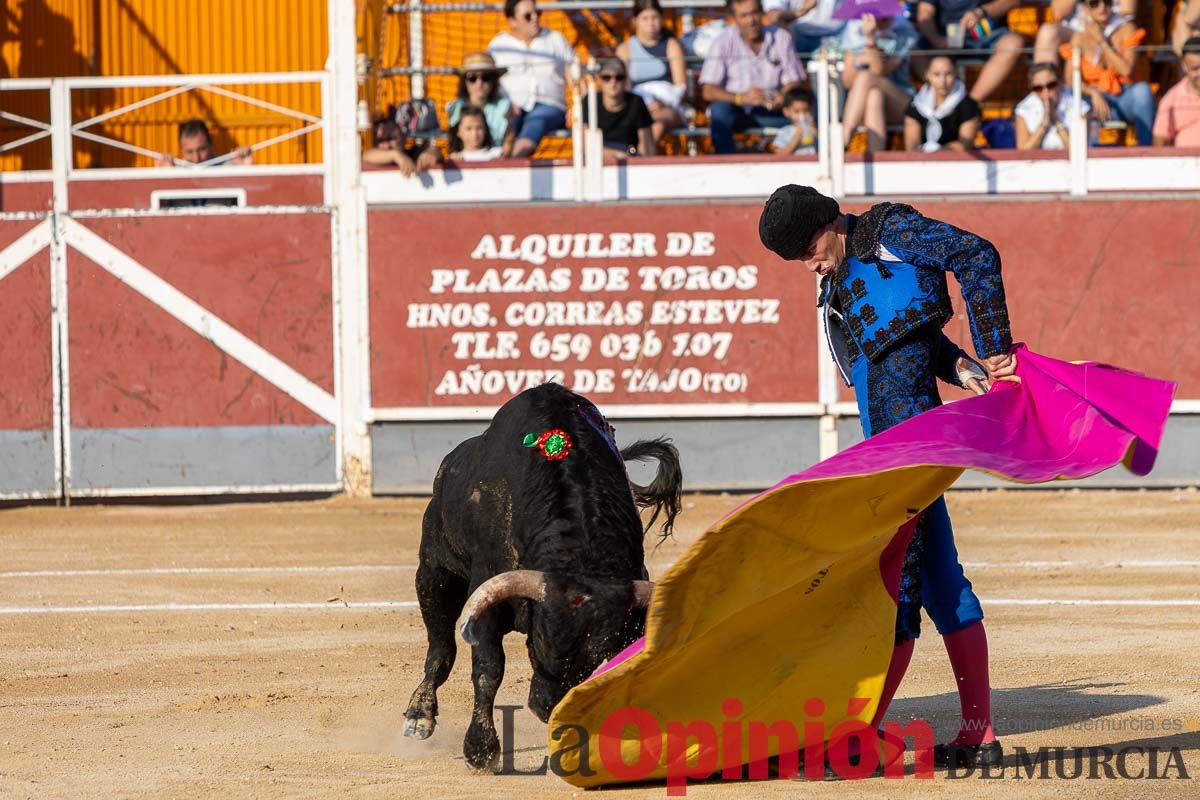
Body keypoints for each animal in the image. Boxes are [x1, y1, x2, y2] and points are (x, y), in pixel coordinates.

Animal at [405, 383, 681, 772]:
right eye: (539, 641)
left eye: (599, 656)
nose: (547, 707)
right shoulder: (486, 597)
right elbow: (489, 668)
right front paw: (480, 750)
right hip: (434, 570)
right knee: (441, 647)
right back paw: (419, 715)